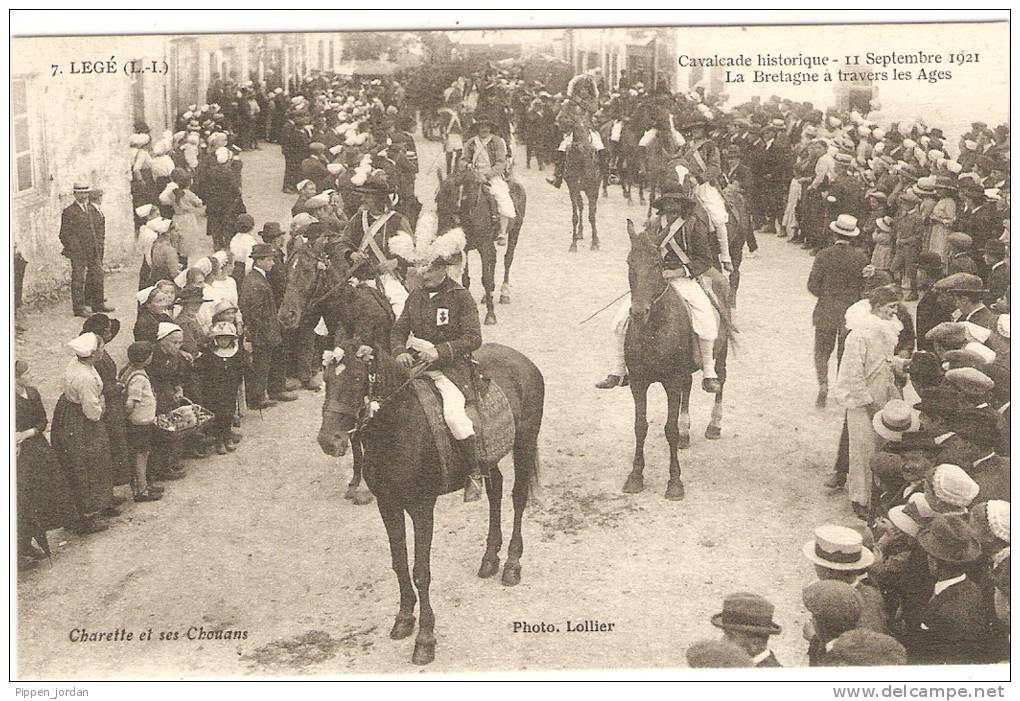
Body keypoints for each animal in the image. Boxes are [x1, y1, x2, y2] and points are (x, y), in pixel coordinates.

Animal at [318, 332, 546, 665]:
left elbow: (421, 572)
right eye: (326, 378)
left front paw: (425, 638)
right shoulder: (388, 505)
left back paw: (512, 564)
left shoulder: (422, 508)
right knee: (496, 490)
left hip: (525, 442)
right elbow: (399, 563)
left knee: (517, 497)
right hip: (488, 457)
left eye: (358, 377)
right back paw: (490, 558)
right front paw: (403, 619)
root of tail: (522, 360)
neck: (399, 426)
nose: (328, 440)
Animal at [434, 168, 526, 324]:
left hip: (515, 230)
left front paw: (490, 315)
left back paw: (504, 293)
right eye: (438, 199)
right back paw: (489, 294)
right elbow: (466, 279)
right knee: (494, 258)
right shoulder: (465, 249)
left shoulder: (483, 246)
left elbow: (485, 279)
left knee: (508, 259)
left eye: (456, 197)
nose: (441, 232)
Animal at [616, 219, 730, 499]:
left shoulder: (671, 381)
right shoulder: (639, 383)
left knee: (720, 382)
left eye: (657, 263)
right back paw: (686, 433)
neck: (653, 328)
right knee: (688, 389)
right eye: (629, 262)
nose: (638, 312)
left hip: (720, 355)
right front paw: (635, 476)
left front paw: (675, 482)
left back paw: (714, 425)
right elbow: (640, 426)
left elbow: (669, 428)